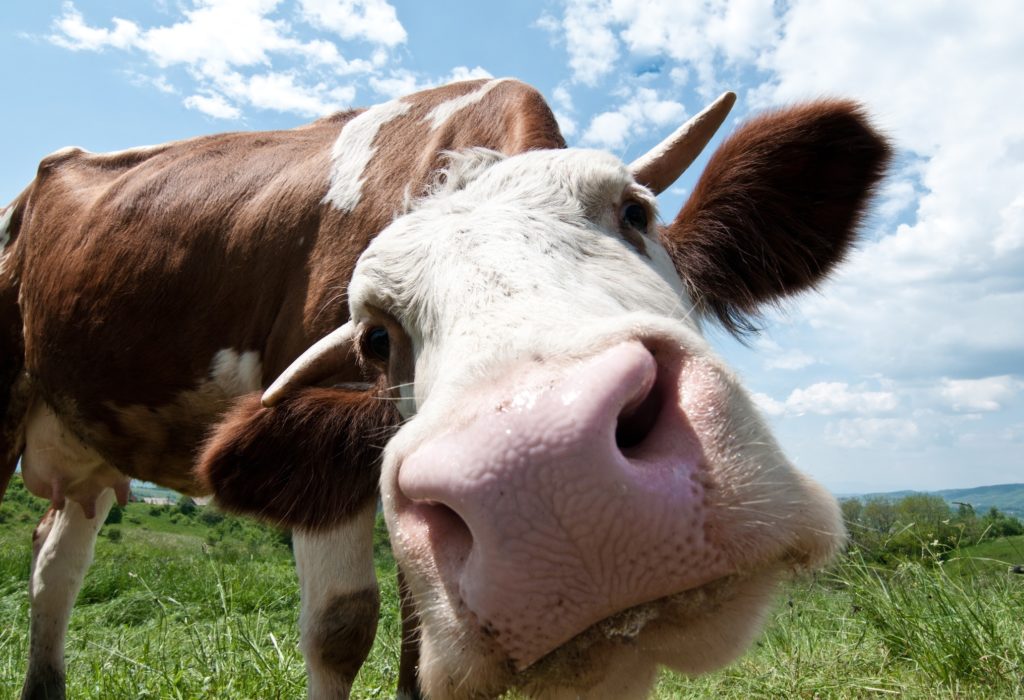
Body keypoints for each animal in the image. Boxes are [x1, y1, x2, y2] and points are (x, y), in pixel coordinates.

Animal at [2, 77, 888, 700]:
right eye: (374, 336)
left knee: (54, 564)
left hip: (86, 453)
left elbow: (419, 648)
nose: (552, 478)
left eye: (637, 213)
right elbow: (341, 628)